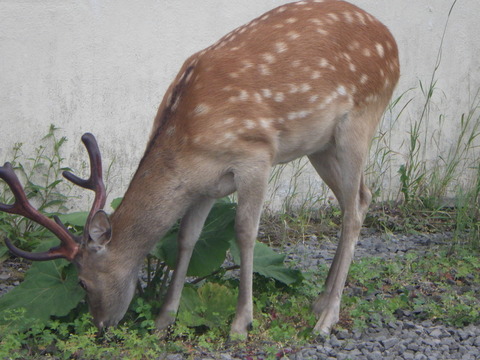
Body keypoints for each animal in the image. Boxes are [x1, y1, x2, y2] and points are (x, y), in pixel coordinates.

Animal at [0, 0, 398, 336]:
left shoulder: (256, 156)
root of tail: (391, 40)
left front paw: (240, 323)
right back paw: (319, 302)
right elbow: (186, 238)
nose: (100, 325)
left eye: (82, 280)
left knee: (354, 210)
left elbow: (244, 233)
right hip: (321, 146)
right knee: (359, 198)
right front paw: (164, 318)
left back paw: (327, 319)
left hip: (360, 121)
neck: (188, 143)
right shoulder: (206, 184)